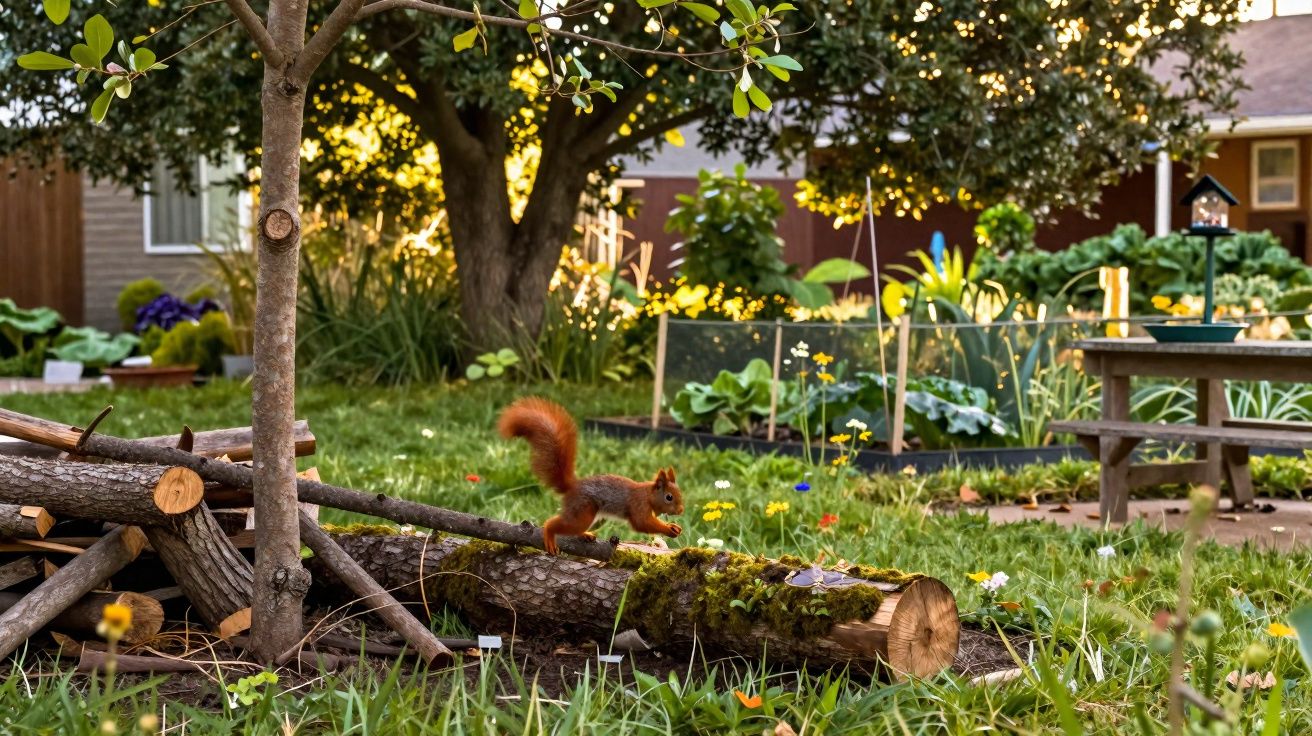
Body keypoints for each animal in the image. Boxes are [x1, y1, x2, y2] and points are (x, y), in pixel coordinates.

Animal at [498, 397, 684, 555]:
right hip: (582, 511)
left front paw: (672, 526)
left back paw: (585, 534)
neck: (648, 495)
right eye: (669, 497)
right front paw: (669, 528)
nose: (681, 510)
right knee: (552, 523)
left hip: (594, 517)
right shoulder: (638, 506)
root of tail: (572, 487)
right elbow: (642, 523)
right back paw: (550, 535)